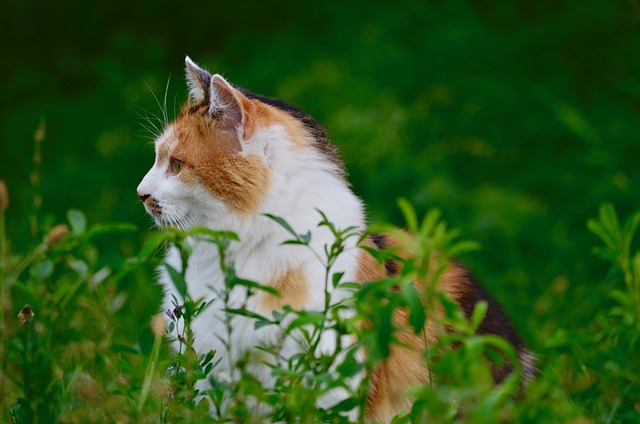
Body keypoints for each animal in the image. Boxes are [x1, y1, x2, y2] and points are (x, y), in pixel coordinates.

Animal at [138, 57, 536, 424]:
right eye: (157, 159)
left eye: (176, 166)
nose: (141, 193)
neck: (240, 251)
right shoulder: (212, 372)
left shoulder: (327, 374)